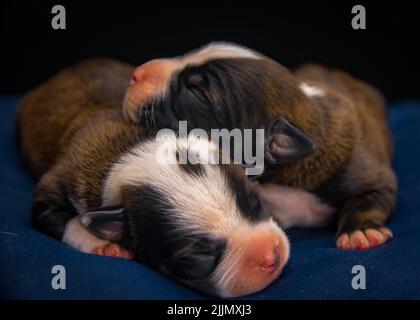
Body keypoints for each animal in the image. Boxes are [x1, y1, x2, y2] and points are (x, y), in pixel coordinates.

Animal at [17, 58, 292, 298]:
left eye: (255, 202)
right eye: (197, 257)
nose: (272, 255)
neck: (130, 149)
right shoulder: (59, 181)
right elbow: (60, 217)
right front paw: (99, 244)